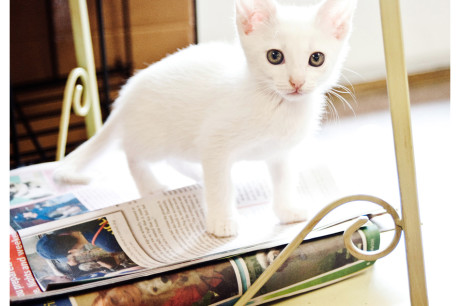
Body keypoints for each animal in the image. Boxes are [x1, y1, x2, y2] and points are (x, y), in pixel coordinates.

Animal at [54, 0, 356, 237]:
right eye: (274, 56)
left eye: (316, 58)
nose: (297, 82)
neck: (277, 105)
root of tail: (127, 94)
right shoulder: (216, 142)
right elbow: (220, 187)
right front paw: (222, 223)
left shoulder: (281, 152)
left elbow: (284, 181)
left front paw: (287, 210)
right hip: (155, 136)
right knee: (131, 153)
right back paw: (151, 186)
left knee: (179, 159)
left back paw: (197, 173)